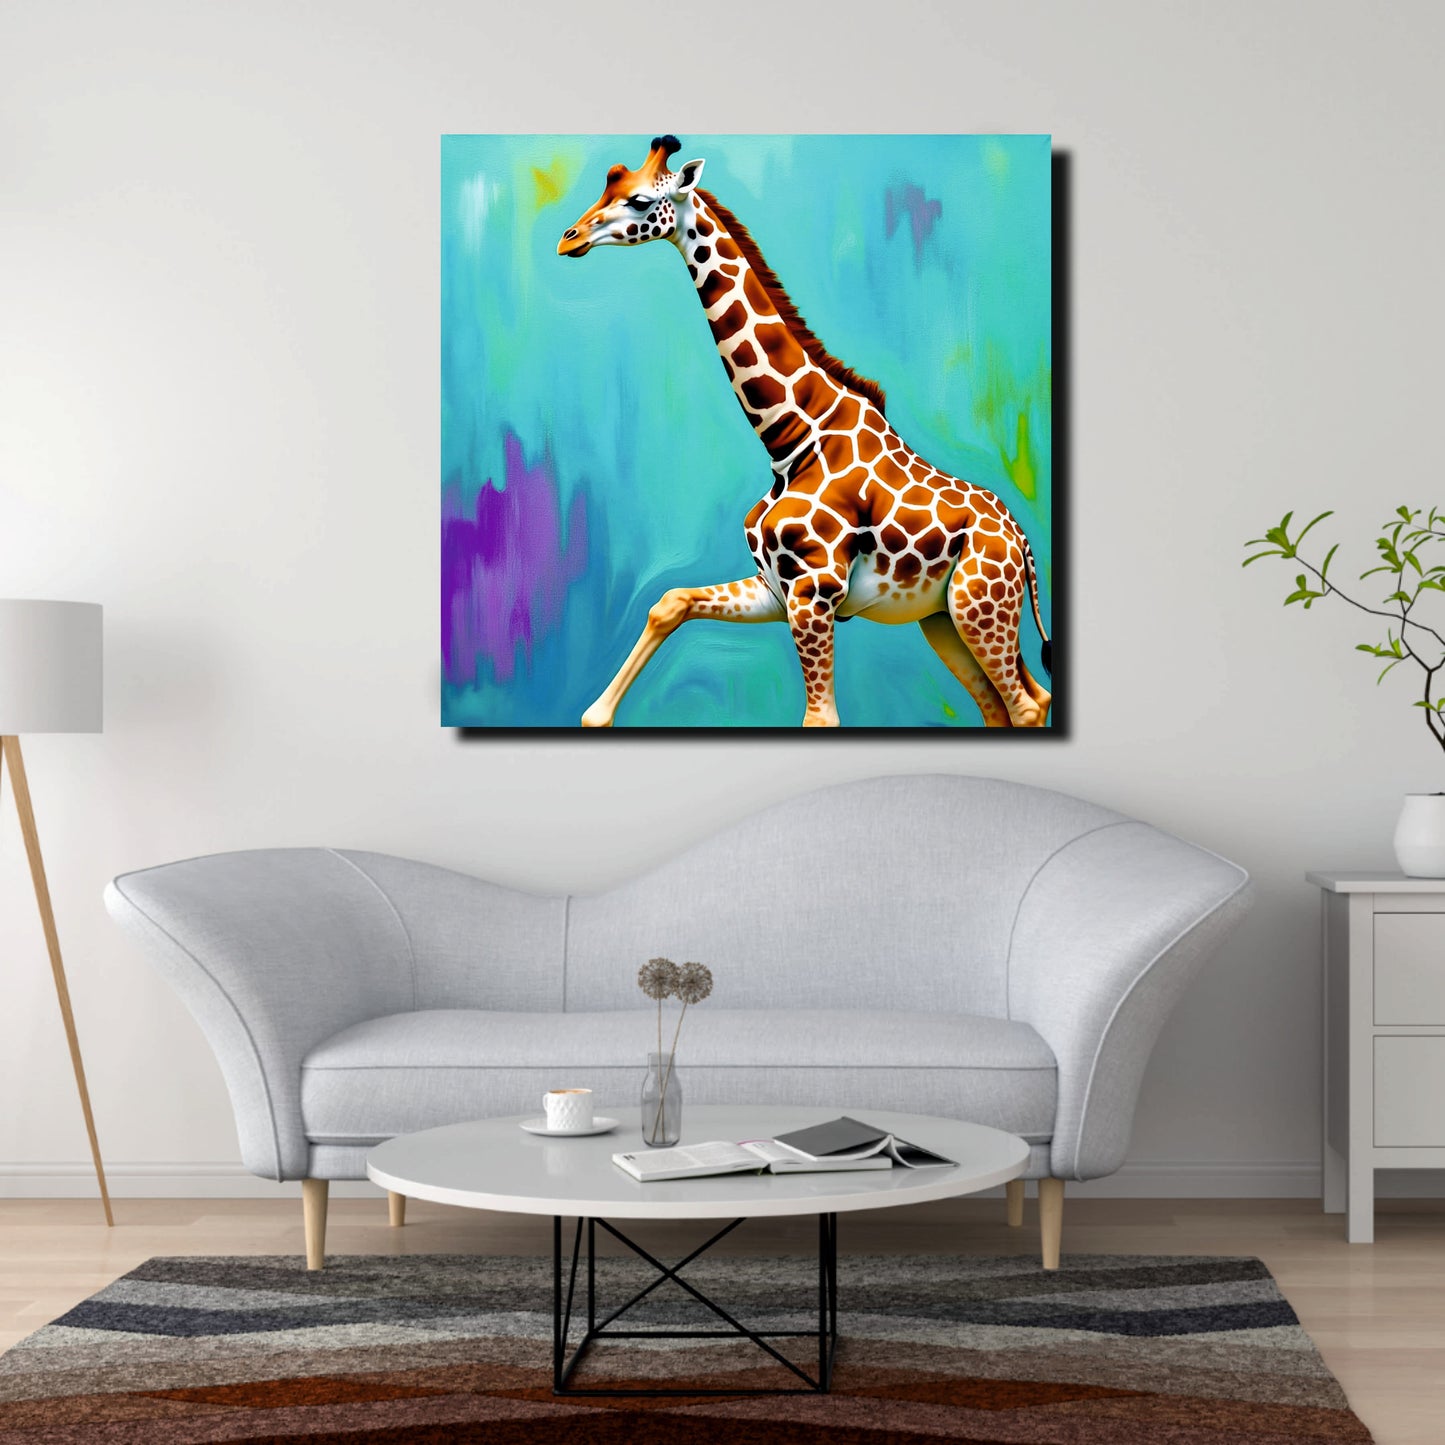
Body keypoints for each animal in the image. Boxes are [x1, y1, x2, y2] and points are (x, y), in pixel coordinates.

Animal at [558, 136, 1052, 729]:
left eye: (637, 200)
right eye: (606, 184)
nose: (568, 239)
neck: (791, 438)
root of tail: (1022, 542)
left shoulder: (814, 593)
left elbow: (821, 718)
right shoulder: (777, 590)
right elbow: (669, 601)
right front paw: (596, 714)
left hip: (980, 607)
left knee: (1025, 704)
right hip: (942, 620)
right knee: (1007, 703)